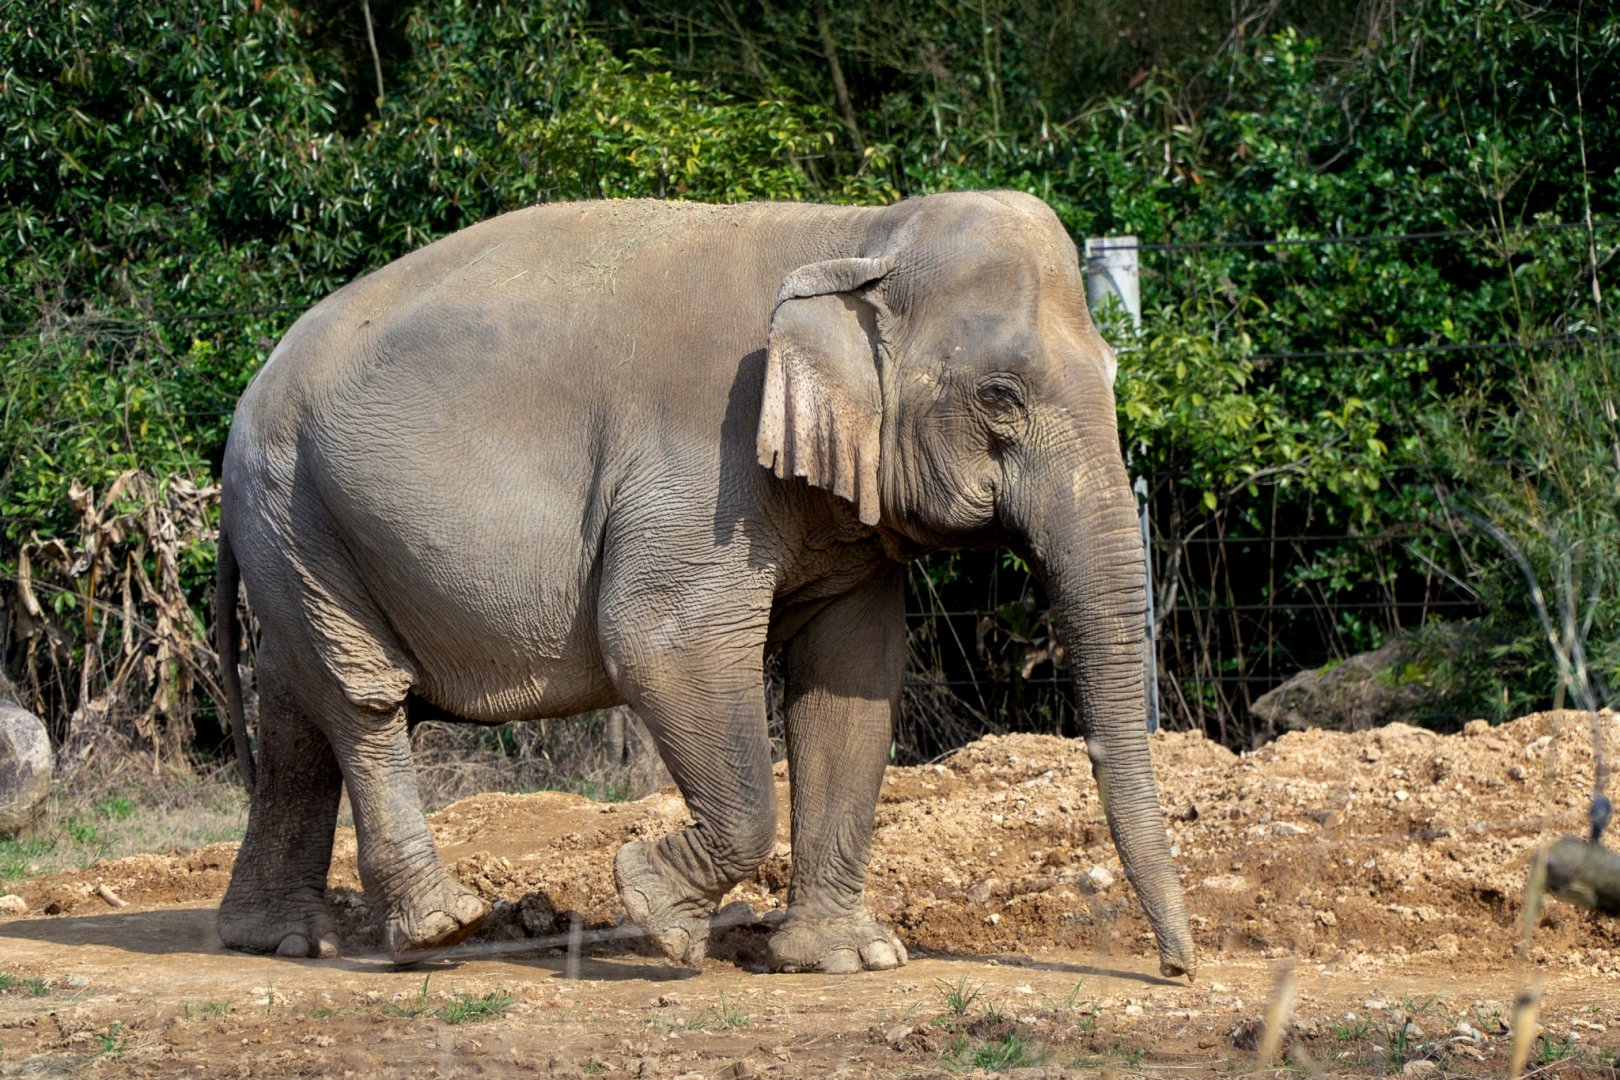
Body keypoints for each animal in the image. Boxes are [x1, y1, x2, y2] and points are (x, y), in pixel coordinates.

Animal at [214, 191, 1196, 978]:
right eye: (1000, 396)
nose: (1176, 970)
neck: (858, 232)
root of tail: (250, 391)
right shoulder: (702, 463)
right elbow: (660, 642)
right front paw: (655, 911)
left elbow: (853, 679)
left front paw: (848, 960)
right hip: (293, 508)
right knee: (362, 698)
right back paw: (437, 931)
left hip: (300, 533)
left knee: (297, 707)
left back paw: (285, 940)